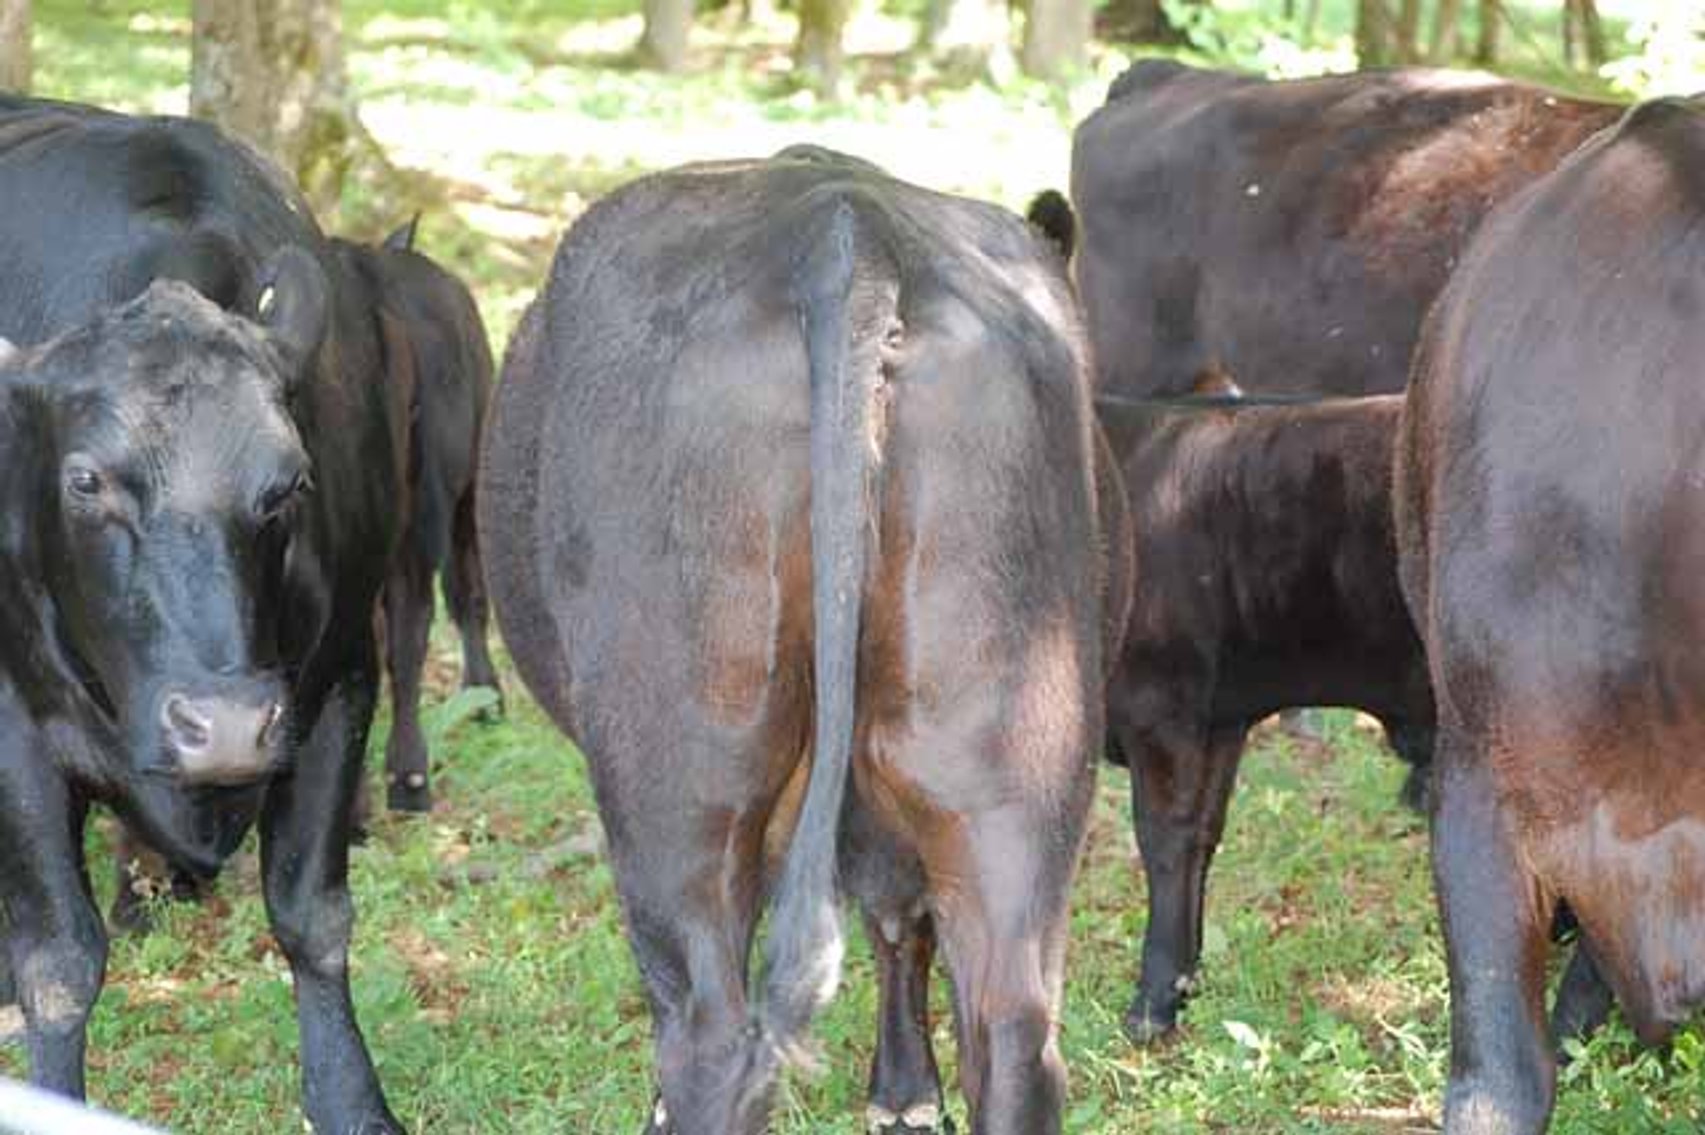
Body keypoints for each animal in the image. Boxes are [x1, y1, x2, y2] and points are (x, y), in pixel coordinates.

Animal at [0, 95, 405, 1133]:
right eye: (85, 479)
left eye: (290, 481)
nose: (222, 725)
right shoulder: (10, 720)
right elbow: (60, 961)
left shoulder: (339, 682)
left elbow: (313, 916)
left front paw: (353, 1100)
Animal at [479, 145, 1131, 1135]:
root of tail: (843, 226)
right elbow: (897, 906)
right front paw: (903, 1093)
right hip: (1015, 738)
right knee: (1014, 1031)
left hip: (684, 769)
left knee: (711, 1034)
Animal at [1091, 391, 1432, 1045]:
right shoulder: (1219, 721)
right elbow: (1203, 835)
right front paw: (1185, 982)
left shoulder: (1160, 708)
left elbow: (1164, 842)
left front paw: (1152, 1006)